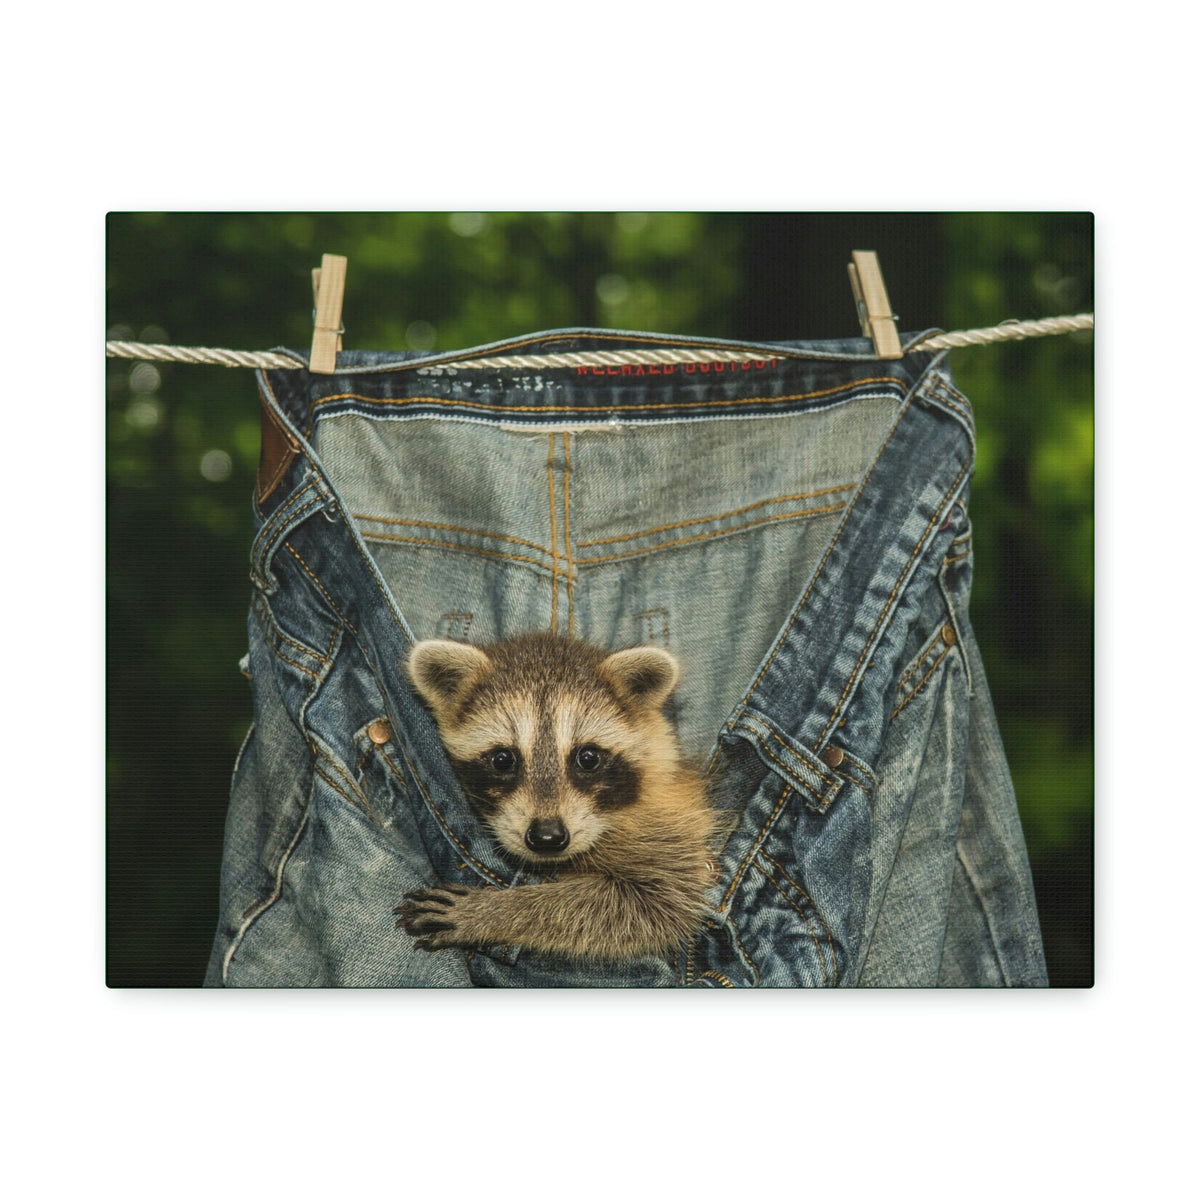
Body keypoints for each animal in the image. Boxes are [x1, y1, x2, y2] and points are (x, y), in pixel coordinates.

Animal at [394, 632, 719, 961]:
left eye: (588, 758)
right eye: (502, 760)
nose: (547, 838)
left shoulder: (668, 825)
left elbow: (654, 902)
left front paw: (495, 911)